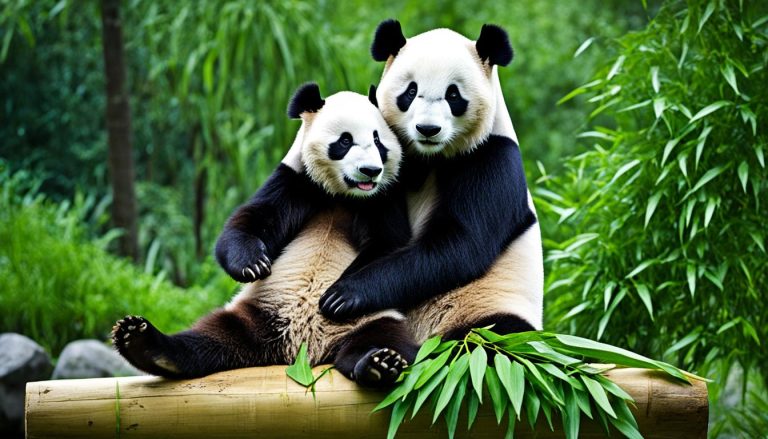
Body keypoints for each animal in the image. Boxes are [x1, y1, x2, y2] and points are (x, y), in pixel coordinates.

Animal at [112, 83, 418, 387]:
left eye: (378, 142)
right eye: (344, 141)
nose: (371, 171)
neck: (343, 195)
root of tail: (303, 349)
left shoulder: (383, 197)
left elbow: (389, 244)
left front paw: (338, 293)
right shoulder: (296, 180)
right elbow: (251, 220)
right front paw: (252, 264)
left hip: (370, 319)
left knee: (383, 340)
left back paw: (377, 364)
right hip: (256, 312)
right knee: (207, 338)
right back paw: (143, 343)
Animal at [318, 20, 544, 342]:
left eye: (454, 95)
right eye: (411, 91)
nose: (427, 129)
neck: (430, 157)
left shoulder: (492, 161)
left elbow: (458, 246)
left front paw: (345, 294)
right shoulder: (390, 165)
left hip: (489, 307)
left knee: (494, 337)